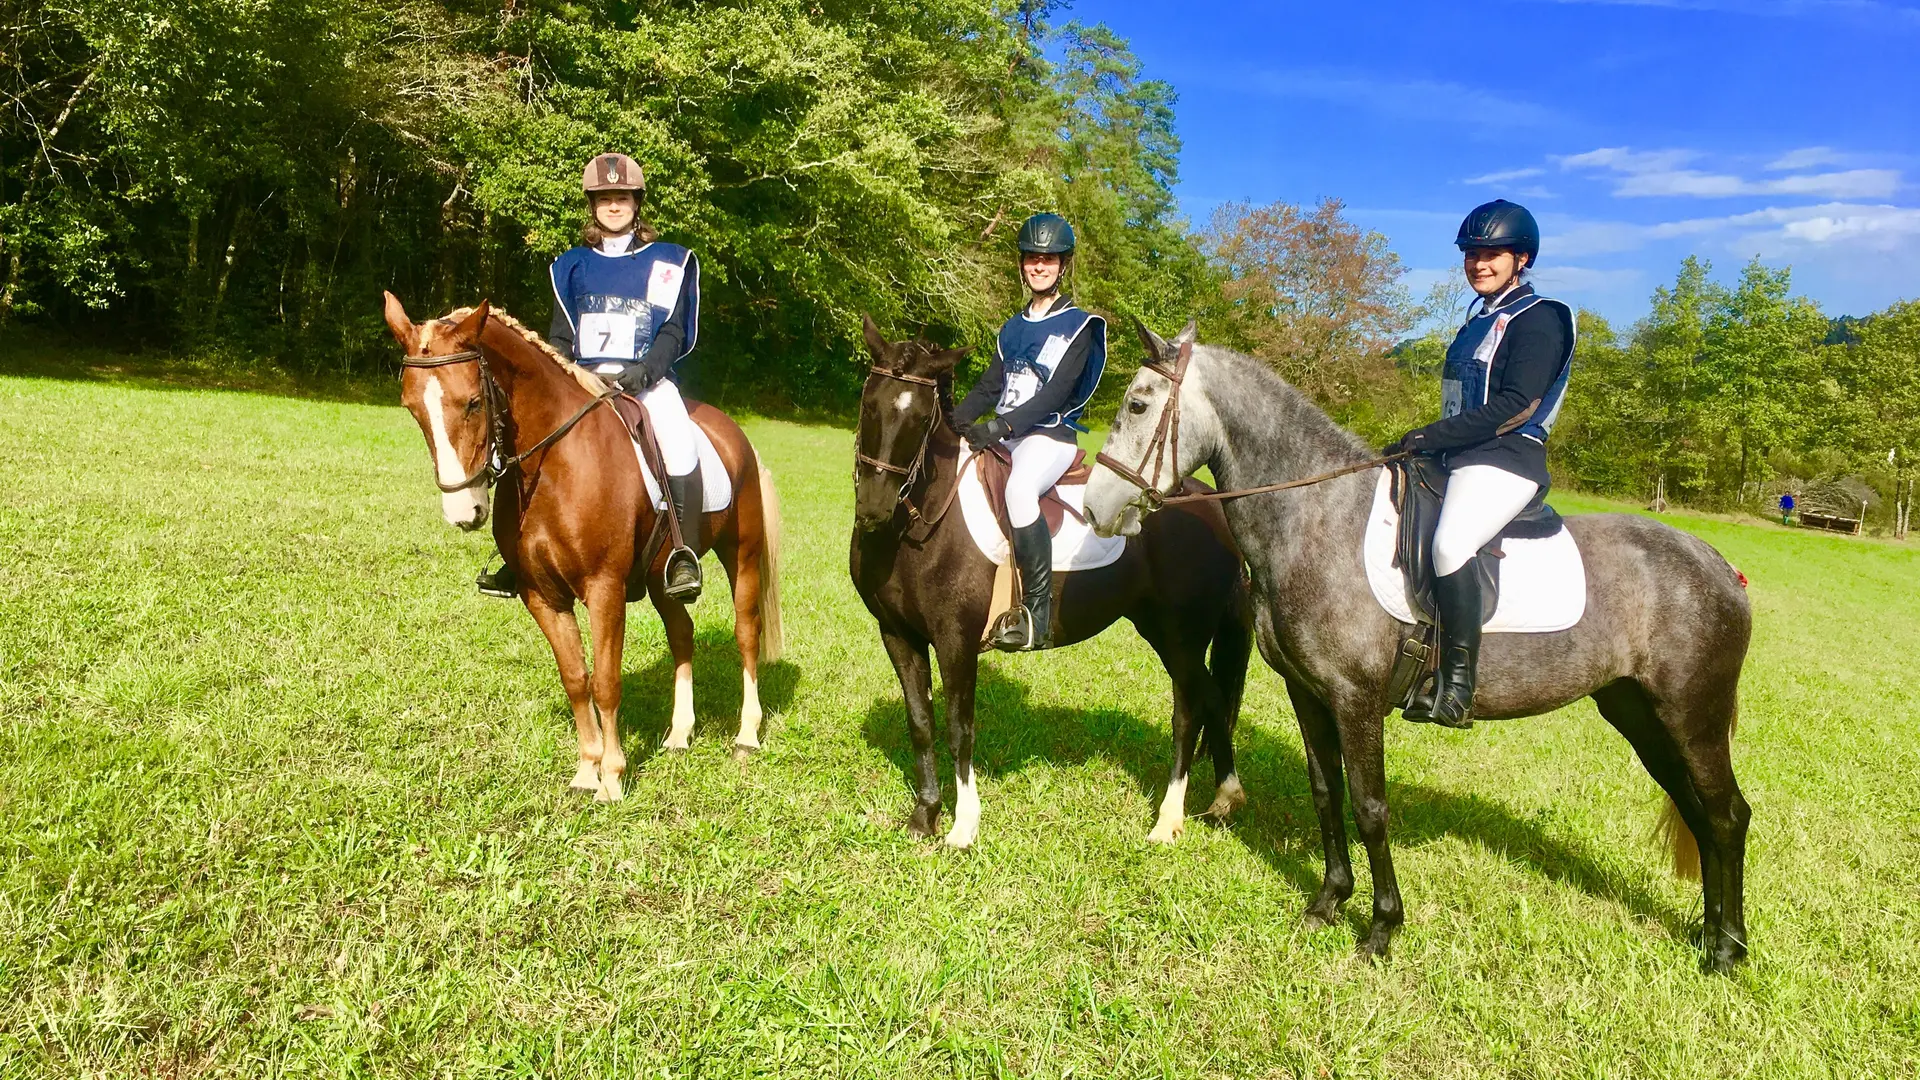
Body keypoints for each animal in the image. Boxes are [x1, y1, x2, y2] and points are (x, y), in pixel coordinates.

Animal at [382, 294, 779, 799]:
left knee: (747, 634)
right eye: (412, 408)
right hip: (660, 578)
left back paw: (746, 735)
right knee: (682, 634)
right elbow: (575, 678)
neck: (557, 463)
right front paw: (587, 770)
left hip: (741, 556)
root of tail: (734, 434)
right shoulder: (542, 595)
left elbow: (606, 681)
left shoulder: (603, 589)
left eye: (472, 402)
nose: (463, 511)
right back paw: (679, 735)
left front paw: (612, 776)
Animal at [848, 315, 1251, 845]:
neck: (923, 524)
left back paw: (1170, 819)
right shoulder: (897, 634)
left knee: (1189, 711)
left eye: (918, 418)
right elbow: (920, 722)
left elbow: (959, 727)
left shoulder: (955, 641)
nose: (874, 509)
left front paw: (963, 826)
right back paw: (1224, 796)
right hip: (1160, 632)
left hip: (1183, 638)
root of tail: (1212, 508)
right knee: (1213, 699)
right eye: (869, 405)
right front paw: (924, 816)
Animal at [1082, 317, 1758, 968]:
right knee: (1698, 812)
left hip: (1690, 718)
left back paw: (1727, 951)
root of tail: (1719, 566)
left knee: (1727, 815)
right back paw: (1710, 935)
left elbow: (1370, 807)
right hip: (1640, 714)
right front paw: (1327, 904)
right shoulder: (1309, 693)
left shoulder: (1356, 701)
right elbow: (1326, 794)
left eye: (1137, 404)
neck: (1317, 518)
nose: (1094, 508)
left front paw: (1381, 929)